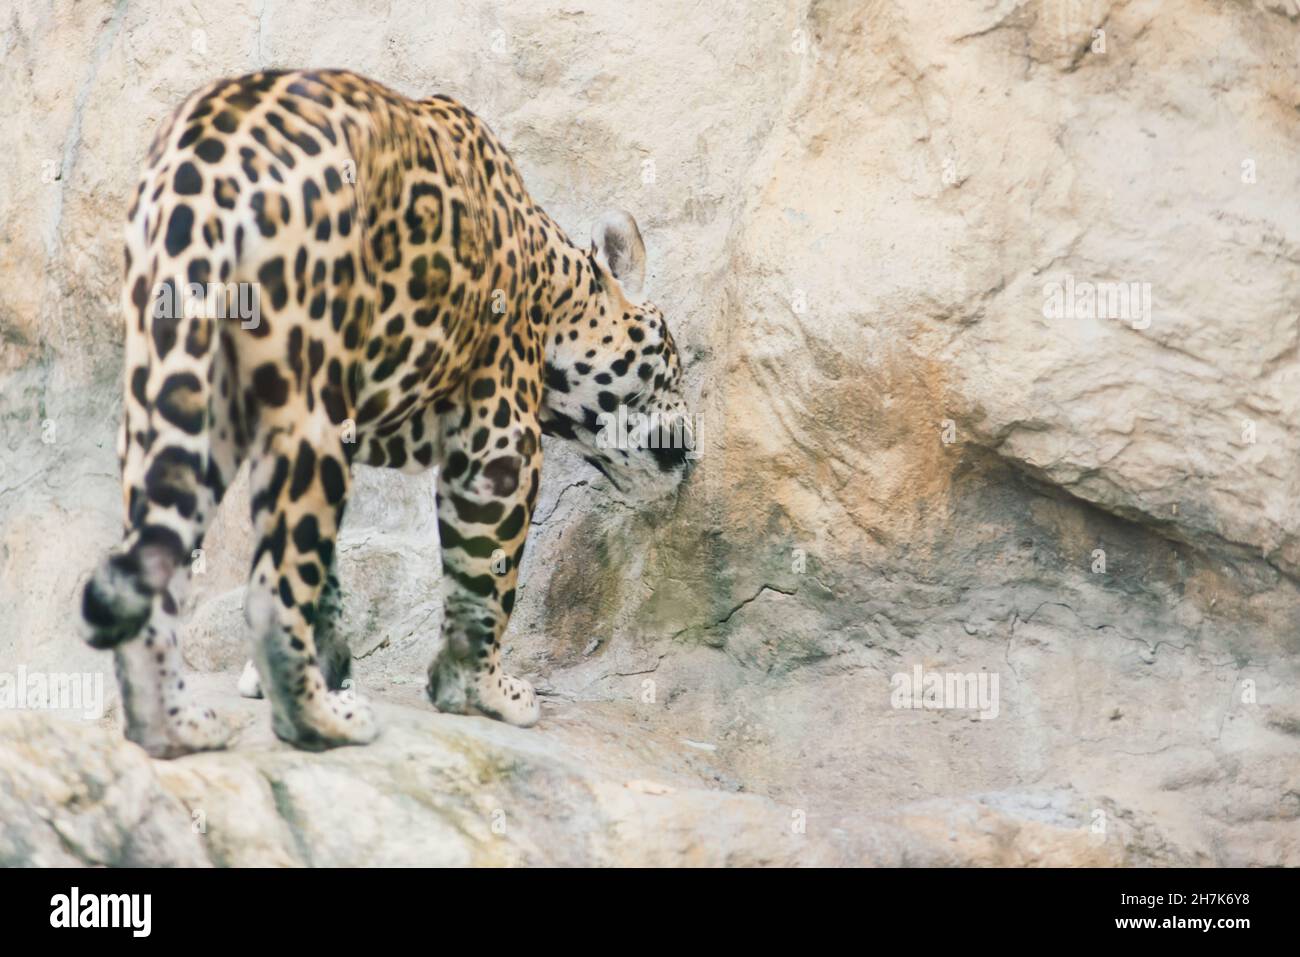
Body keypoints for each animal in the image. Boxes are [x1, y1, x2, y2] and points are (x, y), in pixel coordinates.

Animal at [79, 67, 696, 759]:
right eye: (673, 361)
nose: (692, 443)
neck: (552, 288)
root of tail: (204, 167)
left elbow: (328, 576)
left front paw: (319, 668)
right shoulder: (500, 437)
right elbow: (486, 574)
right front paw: (478, 690)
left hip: (177, 381)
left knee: (154, 551)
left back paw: (172, 727)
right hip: (308, 399)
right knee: (266, 592)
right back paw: (318, 725)